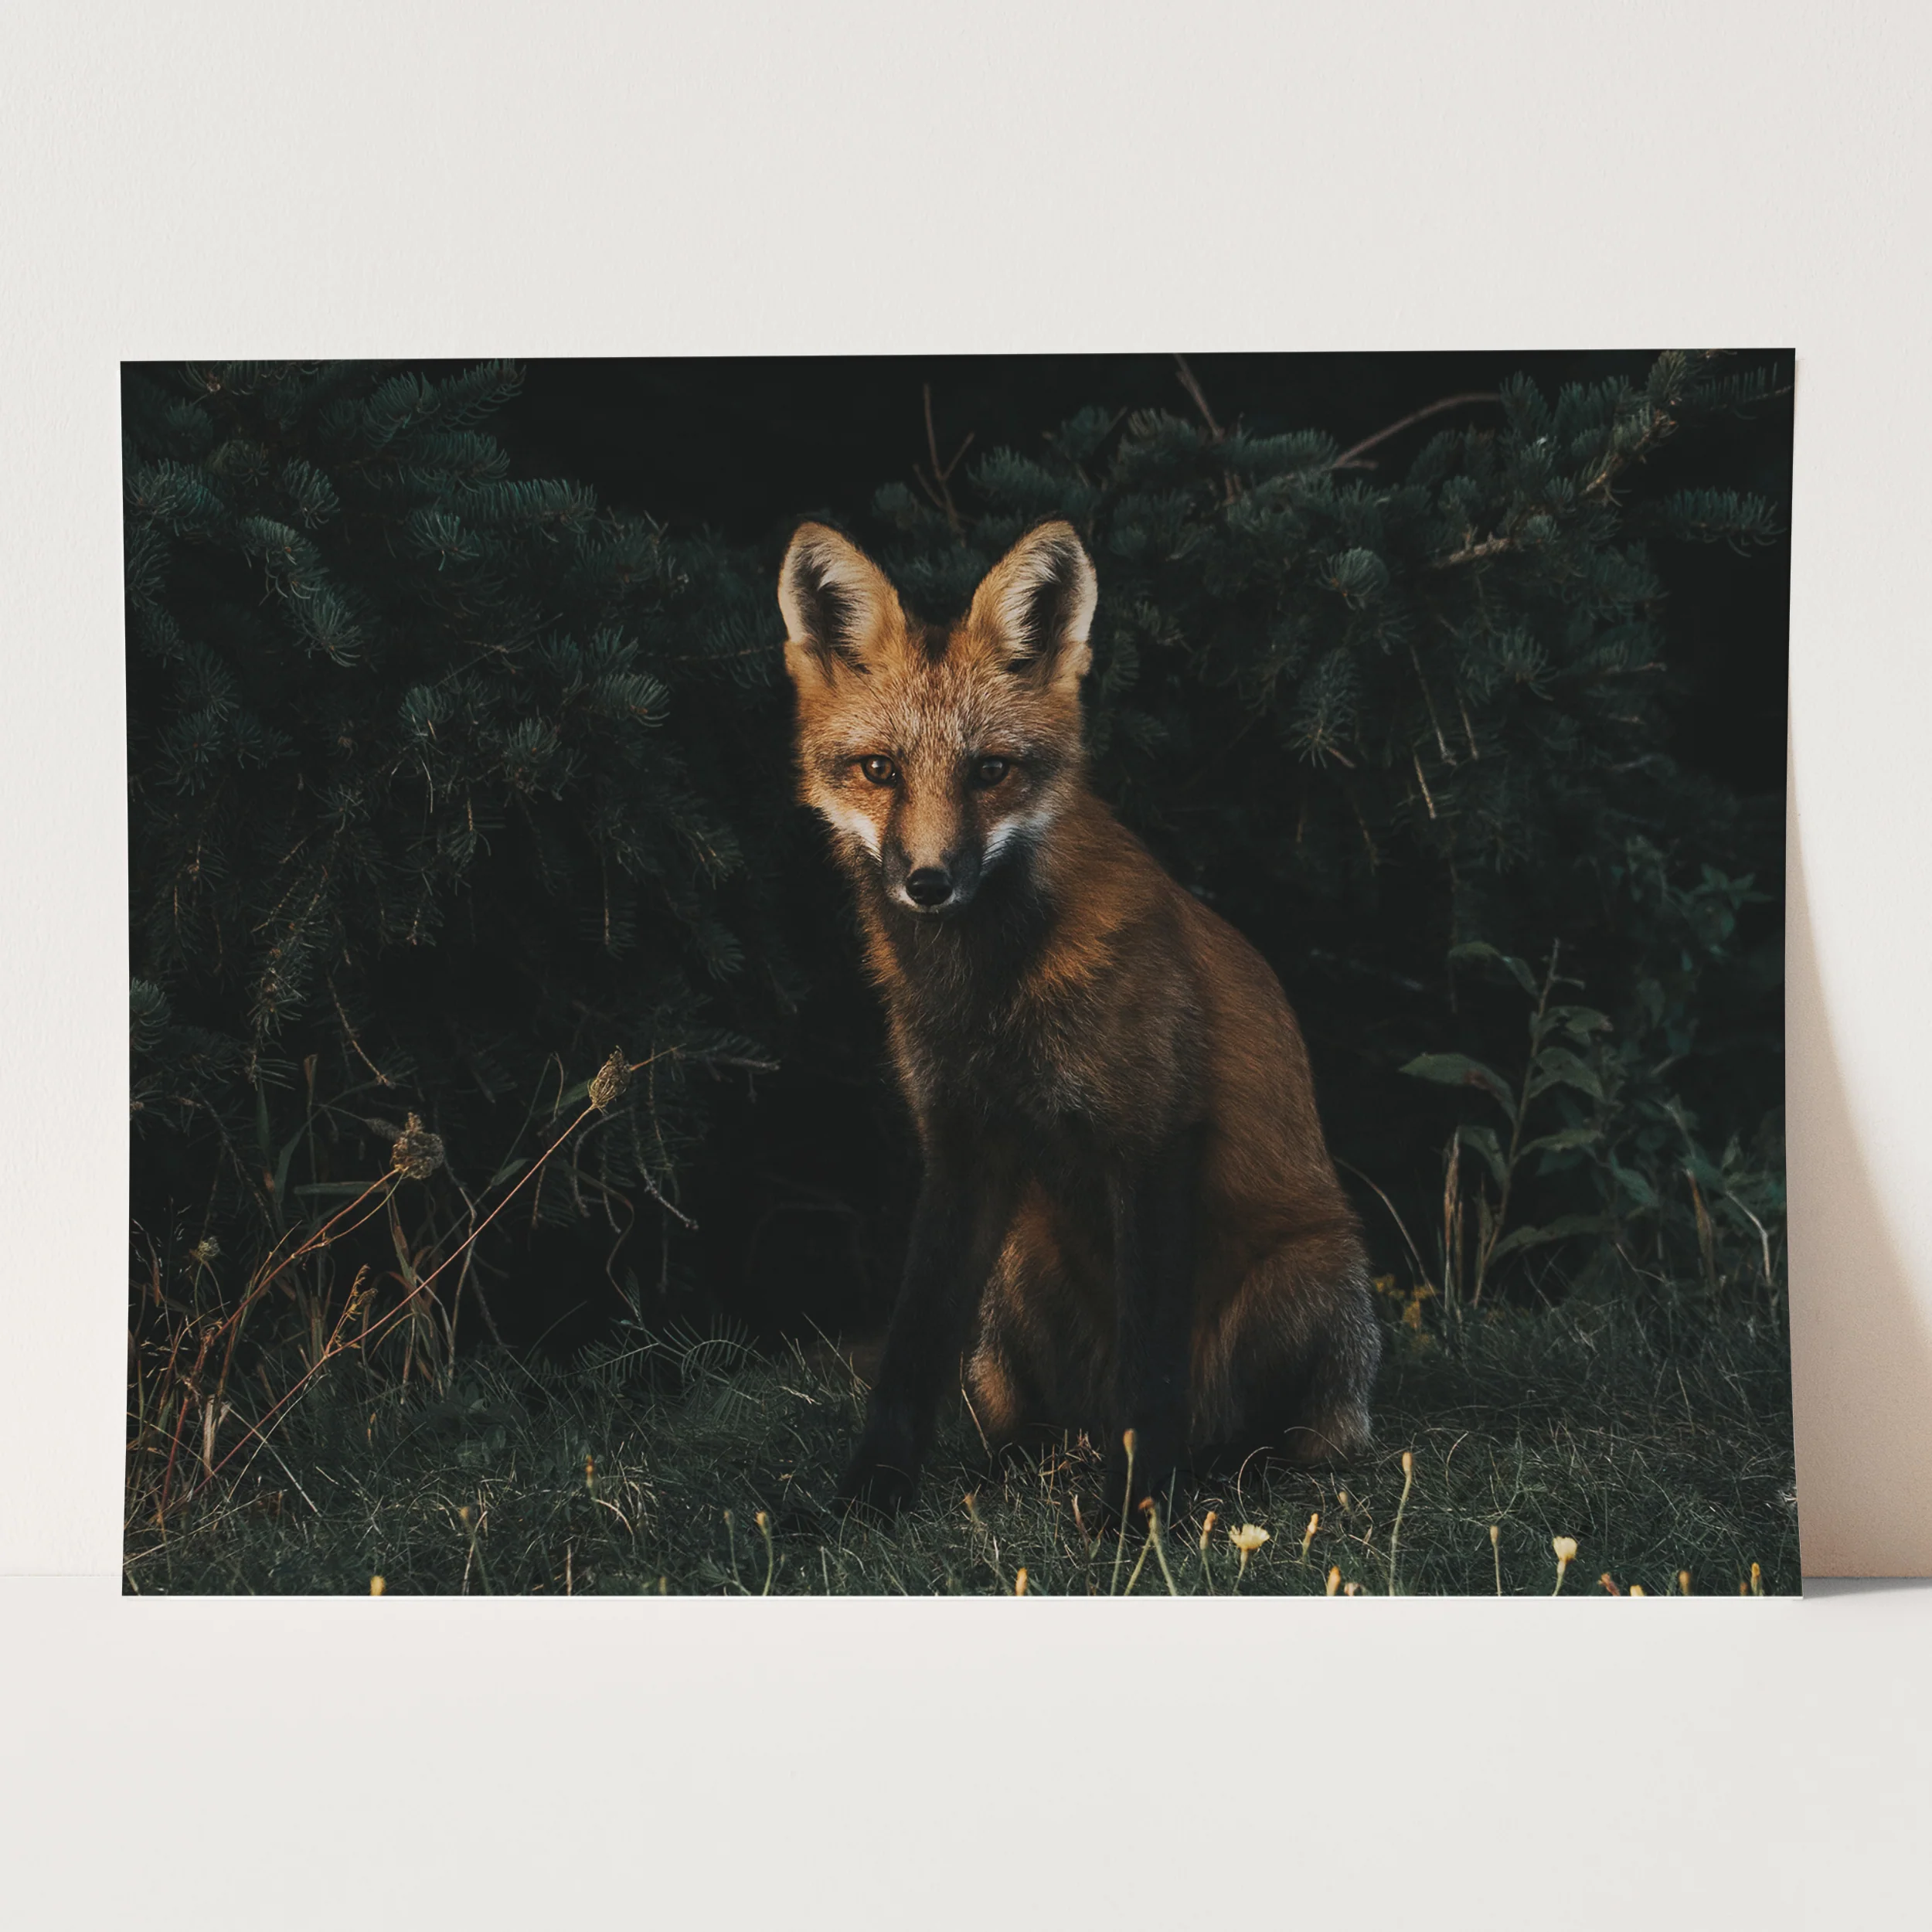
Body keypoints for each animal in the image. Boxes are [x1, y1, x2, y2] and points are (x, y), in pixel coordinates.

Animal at [778, 517, 1380, 1523]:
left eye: (990, 770)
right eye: (878, 770)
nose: (929, 882)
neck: (989, 994)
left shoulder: (1153, 1136)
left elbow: (1151, 1369)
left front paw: (1138, 1514)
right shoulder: (960, 1143)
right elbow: (908, 1353)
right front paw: (866, 1496)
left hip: (1311, 1279)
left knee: (1273, 1438)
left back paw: (1211, 1471)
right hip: (1018, 1268)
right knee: (1034, 1422)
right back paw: (1020, 1463)